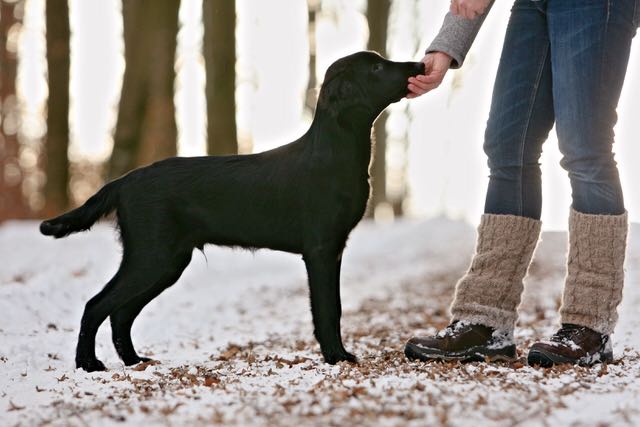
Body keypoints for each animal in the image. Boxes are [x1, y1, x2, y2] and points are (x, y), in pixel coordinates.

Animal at [40, 51, 424, 372]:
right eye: (376, 68)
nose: (419, 65)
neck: (334, 152)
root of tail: (123, 180)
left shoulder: (334, 248)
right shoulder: (321, 249)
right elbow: (329, 309)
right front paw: (336, 357)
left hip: (167, 262)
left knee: (120, 313)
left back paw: (134, 360)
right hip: (152, 256)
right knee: (96, 305)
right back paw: (88, 364)